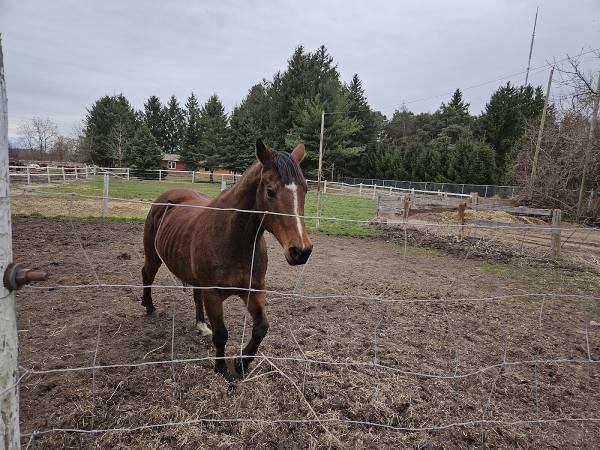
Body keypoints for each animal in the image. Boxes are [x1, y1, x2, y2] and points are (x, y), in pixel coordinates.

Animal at [140, 139, 310, 378]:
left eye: (305, 189)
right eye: (270, 191)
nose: (301, 251)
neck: (233, 240)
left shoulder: (254, 290)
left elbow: (261, 328)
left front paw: (241, 363)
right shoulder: (213, 294)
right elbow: (221, 334)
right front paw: (221, 368)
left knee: (195, 295)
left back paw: (201, 325)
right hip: (153, 255)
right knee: (147, 274)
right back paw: (149, 306)